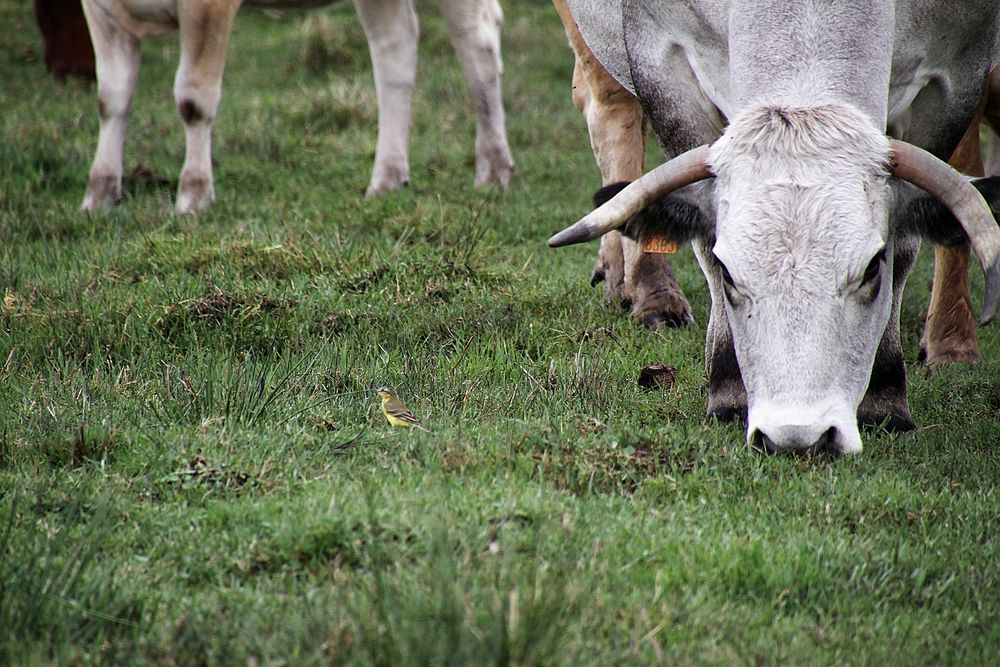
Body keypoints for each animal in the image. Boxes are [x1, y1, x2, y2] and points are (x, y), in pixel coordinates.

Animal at [80, 0, 516, 213]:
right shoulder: (98, 9)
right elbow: (111, 98)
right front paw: (99, 194)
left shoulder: (206, 5)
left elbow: (193, 98)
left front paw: (193, 194)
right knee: (396, 46)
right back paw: (387, 178)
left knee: (477, 43)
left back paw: (494, 169)